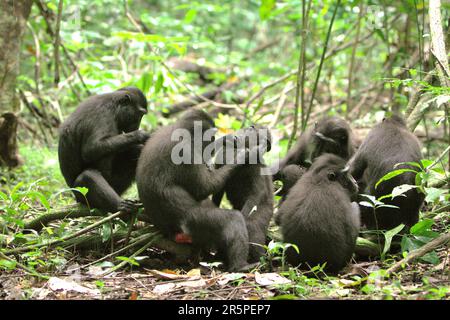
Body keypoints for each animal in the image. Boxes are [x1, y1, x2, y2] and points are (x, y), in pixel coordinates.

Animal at [57, 86, 149, 214]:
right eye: (140, 114)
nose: (138, 126)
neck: (114, 105)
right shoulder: (103, 113)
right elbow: (91, 149)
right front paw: (141, 135)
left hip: (117, 186)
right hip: (82, 194)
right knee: (87, 177)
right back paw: (120, 205)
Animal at [135, 109, 262, 270]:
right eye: (210, 137)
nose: (213, 141)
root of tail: (171, 234)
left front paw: (225, 140)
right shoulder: (185, 152)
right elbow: (203, 188)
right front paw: (241, 156)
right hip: (195, 226)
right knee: (232, 219)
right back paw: (239, 266)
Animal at [212, 126, 272, 264]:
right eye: (251, 127)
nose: (250, 127)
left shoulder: (258, 169)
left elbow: (256, 194)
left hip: (266, 213)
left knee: (253, 227)